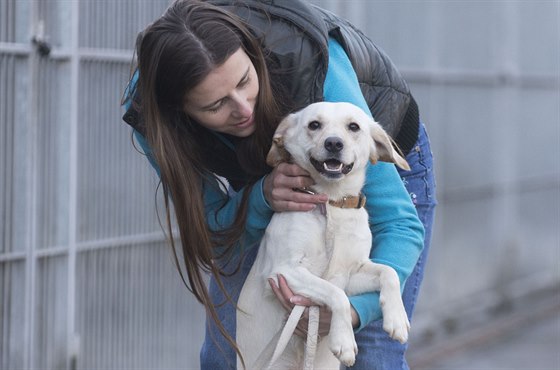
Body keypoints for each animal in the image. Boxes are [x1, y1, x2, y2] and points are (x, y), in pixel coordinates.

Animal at [236, 101, 412, 370]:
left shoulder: (351, 275)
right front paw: (344, 342)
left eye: (354, 127)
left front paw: (397, 319)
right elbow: (336, 296)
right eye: (314, 125)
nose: (334, 144)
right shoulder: (284, 271)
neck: (331, 203)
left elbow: (389, 273)